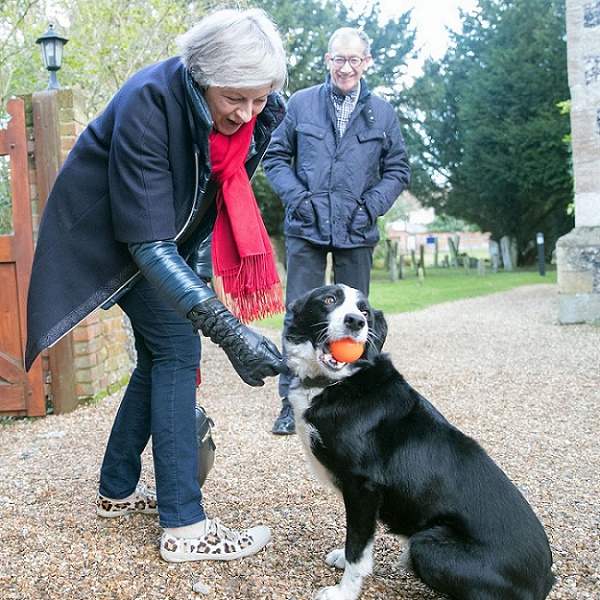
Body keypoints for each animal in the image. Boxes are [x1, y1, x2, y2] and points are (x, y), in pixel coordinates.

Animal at [284, 284, 556, 600]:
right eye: (329, 299)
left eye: (365, 312)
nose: (355, 322)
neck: (337, 383)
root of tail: (545, 579)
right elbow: (361, 540)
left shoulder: (363, 487)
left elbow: (358, 545)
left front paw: (344, 591)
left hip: (427, 546)